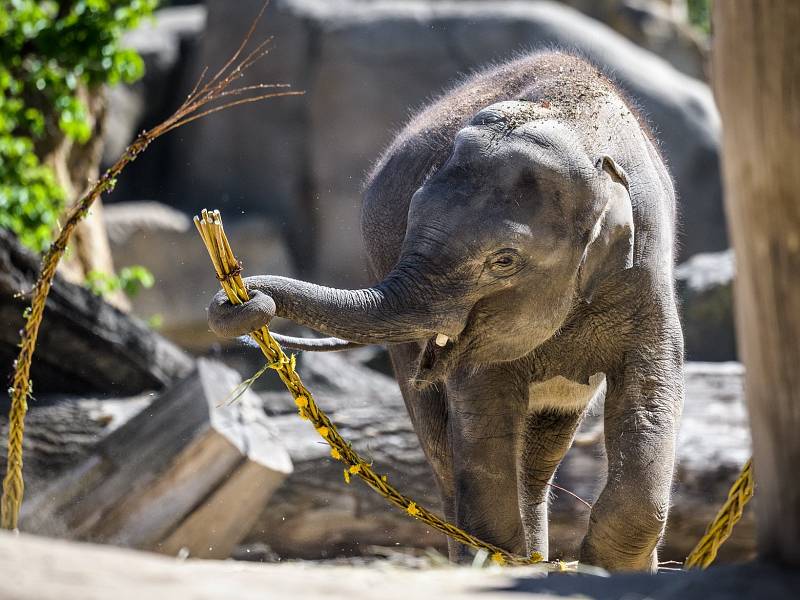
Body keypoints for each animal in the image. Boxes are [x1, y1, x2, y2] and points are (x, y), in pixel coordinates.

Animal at [209, 51, 684, 572]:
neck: (581, 131)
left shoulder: (644, 276)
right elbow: (483, 421)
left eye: (504, 261)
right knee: (446, 453)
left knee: (538, 459)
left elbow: (652, 394)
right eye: (411, 219)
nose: (241, 296)